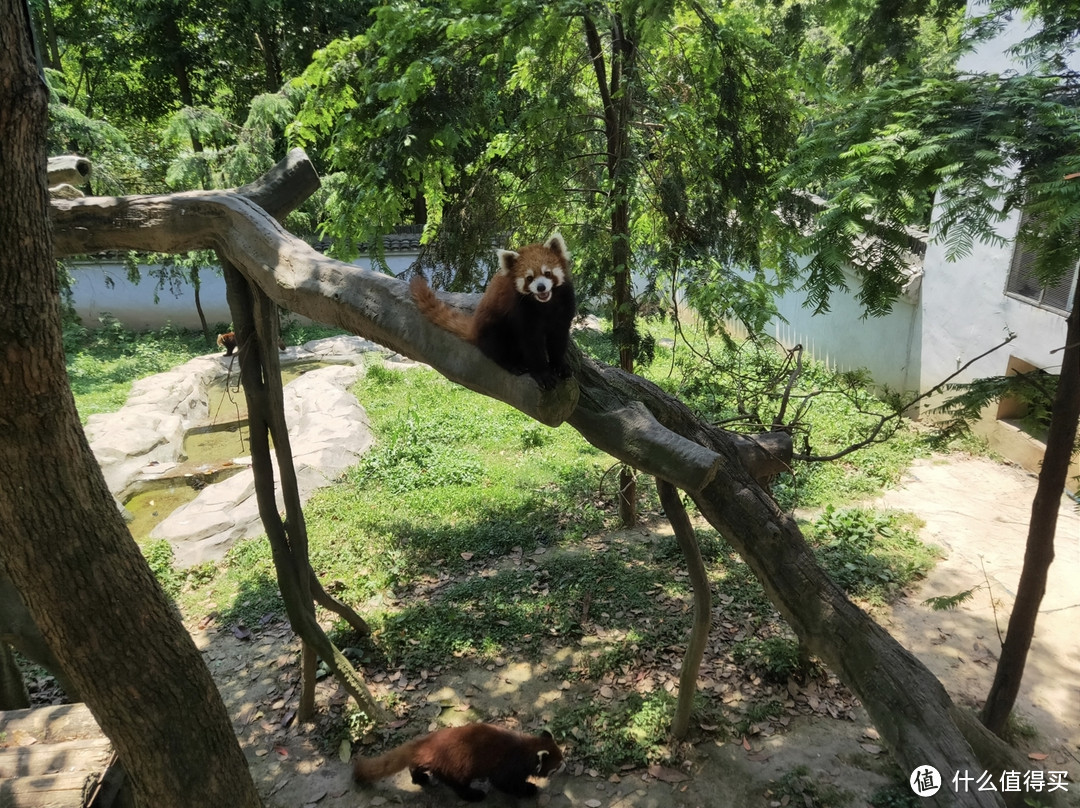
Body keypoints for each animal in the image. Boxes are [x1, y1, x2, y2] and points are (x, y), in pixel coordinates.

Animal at [352, 721, 565, 803]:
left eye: (562, 757)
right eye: (557, 765)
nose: (565, 765)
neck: (525, 748)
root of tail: (428, 743)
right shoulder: (508, 765)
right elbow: (504, 783)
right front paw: (528, 789)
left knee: (416, 765)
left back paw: (419, 777)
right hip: (455, 767)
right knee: (459, 785)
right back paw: (474, 794)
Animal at [406, 232, 574, 388]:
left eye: (547, 273)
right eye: (529, 278)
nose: (541, 287)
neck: (545, 304)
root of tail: (474, 327)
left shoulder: (564, 307)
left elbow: (558, 339)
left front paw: (559, 366)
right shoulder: (521, 311)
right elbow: (531, 343)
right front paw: (543, 374)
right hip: (493, 325)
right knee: (496, 346)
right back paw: (514, 364)